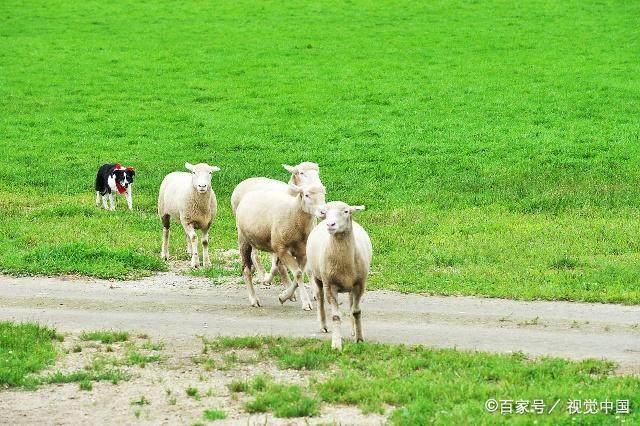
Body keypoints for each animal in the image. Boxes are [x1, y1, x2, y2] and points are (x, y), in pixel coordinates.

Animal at [234, 182, 324, 310]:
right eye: (306, 195)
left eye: (324, 193)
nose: (323, 212)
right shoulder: (282, 250)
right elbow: (298, 274)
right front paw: (306, 302)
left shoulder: (302, 253)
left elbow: (299, 274)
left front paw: (284, 296)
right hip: (244, 240)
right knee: (247, 270)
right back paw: (254, 299)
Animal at [306, 201, 372, 352]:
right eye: (326, 212)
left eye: (346, 211)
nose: (330, 224)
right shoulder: (330, 286)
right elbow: (336, 316)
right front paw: (336, 344)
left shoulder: (360, 284)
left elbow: (356, 311)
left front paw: (359, 339)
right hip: (317, 277)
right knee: (320, 298)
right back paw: (323, 326)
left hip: (351, 285)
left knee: (351, 302)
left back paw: (353, 330)